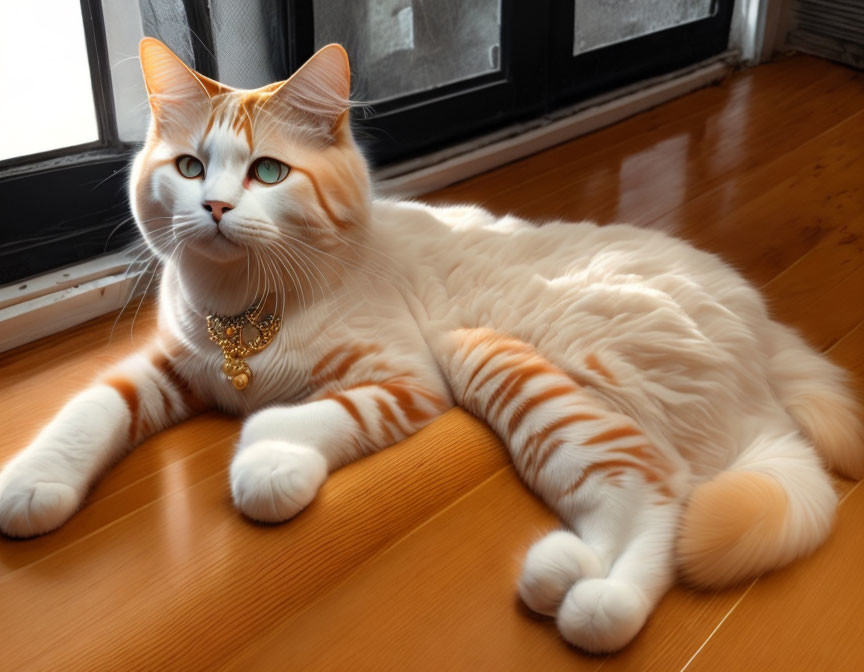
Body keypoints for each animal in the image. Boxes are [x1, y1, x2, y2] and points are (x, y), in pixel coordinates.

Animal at [1, 36, 864, 652]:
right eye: (186, 167)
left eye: (269, 173)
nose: (212, 206)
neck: (245, 312)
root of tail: (763, 348)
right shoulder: (171, 363)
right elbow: (91, 407)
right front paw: (36, 479)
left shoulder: (407, 378)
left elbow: (310, 418)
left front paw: (270, 461)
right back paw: (578, 579)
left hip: (533, 370)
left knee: (663, 492)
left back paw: (601, 604)